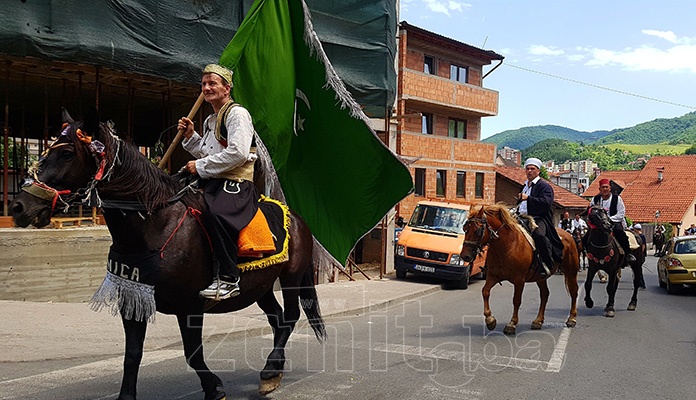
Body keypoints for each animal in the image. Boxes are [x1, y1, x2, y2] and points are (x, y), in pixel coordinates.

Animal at [10, 110, 326, 400]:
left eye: (65, 154)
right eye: (47, 150)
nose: (18, 206)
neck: (154, 226)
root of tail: (297, 219)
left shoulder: (190, 306)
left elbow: (192, 354)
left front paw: (214, 388)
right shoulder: (132, 297)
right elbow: (132, 355)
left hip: (291, 277)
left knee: (289, 317)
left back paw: (271, 369)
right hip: (261, 285)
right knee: (276, 319)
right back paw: (273, 372)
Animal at [460, 205, 580, 336]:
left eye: (477, 231)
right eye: (465, 229)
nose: (465, 256)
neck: (506, 244)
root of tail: (568, 235)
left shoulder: (519, 280)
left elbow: (516, 300)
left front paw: (512, 324)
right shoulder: (493, 276)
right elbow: (485, 292)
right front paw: (490, 320)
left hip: (571, 271)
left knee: (574, 292)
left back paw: (572, 319)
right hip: (540, 278)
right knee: (545, 294)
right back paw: (538, 321)